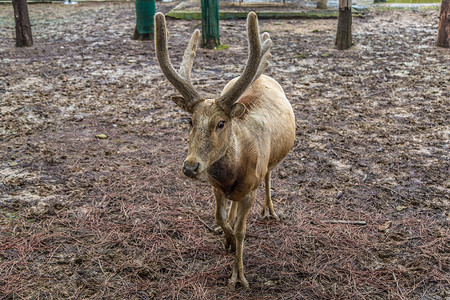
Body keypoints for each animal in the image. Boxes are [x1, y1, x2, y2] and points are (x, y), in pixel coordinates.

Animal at [154, 12, 296, 290]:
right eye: (190, 121)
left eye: (221, 123)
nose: (191, 166)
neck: (234, 171)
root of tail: (264, 76)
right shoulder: (215, 186)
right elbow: (220, 218)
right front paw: (225, 238)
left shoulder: (250, 189)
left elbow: (242, 231)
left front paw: (238, 277)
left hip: (271, 162)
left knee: (269, 175)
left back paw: (270, 211)